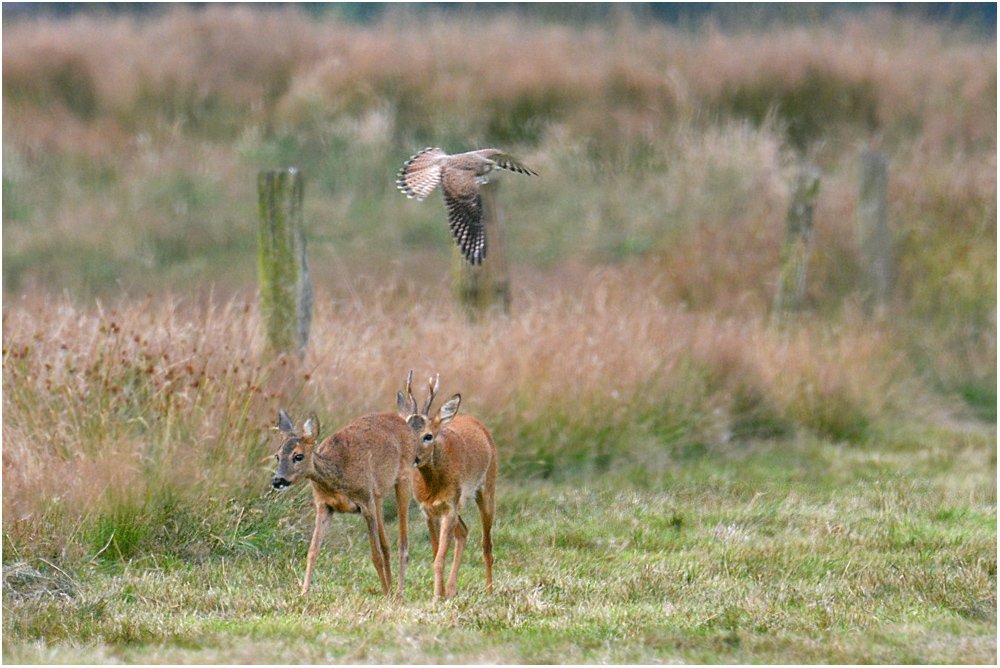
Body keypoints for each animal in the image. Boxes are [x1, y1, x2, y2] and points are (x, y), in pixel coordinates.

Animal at [272, 408, 416, 600]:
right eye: (277, 456)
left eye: (299, 456)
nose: (277, 480)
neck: (339, 475)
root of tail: (404, 422)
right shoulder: (325, 506)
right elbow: (312, 551)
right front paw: (304, 593)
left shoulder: (365, 500)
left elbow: (375, 554)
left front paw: (386, 594)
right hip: (378, 496)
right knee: (386, 543)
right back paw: (393, 588)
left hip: (404, 477)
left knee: (402, 542)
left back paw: (398, 592)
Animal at [394, 370, 496, 600]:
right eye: (406, 433)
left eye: (428, 436)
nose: (410, 457)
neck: (432, 487)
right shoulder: (428, 510)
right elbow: (435, 553)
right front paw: (440, 593)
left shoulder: (449, 506)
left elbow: (440, 558)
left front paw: (435, 599)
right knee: (464, 531)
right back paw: (451, 589)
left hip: (487, 488)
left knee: (487, 544)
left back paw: (489, 590)